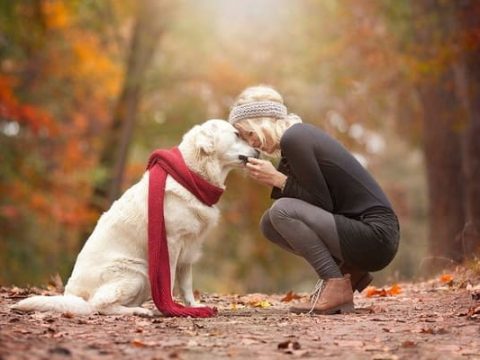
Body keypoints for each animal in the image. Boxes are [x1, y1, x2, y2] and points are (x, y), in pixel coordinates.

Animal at [11, 120, 256, 316]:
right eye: (236, 135)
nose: (258, 151)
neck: (192, 176)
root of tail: (72, 296)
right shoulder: (171, 244)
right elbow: (169, 281)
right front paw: (171, 308)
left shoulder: (189, 249)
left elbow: (186, 285)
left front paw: (193, 306)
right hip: (137, 273)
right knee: (99, 306)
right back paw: (139, 311)